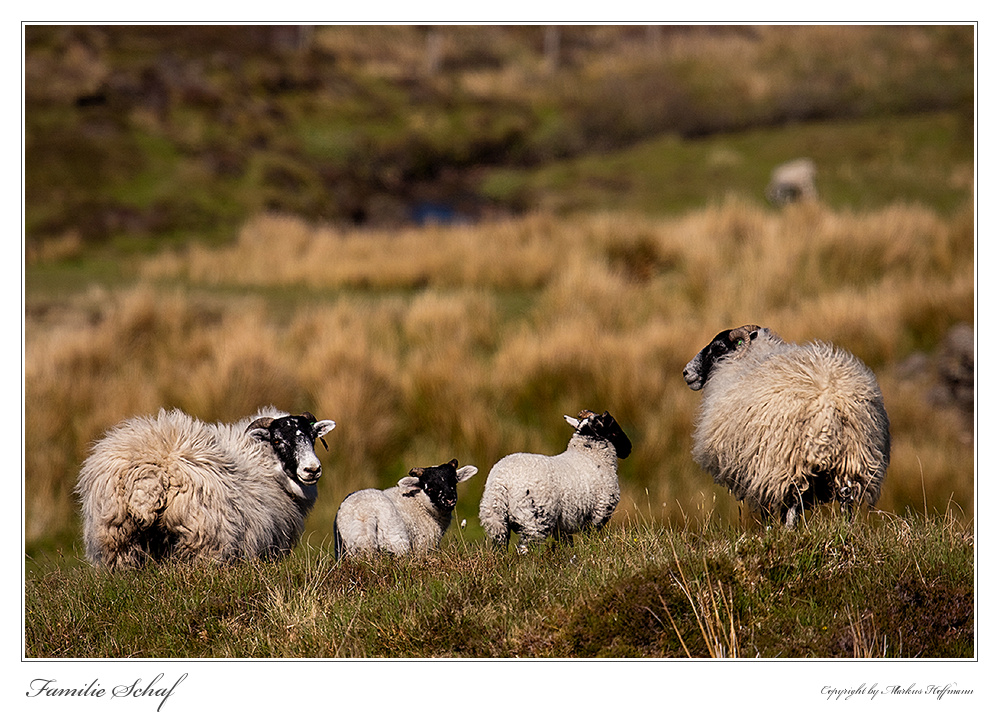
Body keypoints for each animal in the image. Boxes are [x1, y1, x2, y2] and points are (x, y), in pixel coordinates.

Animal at [74, 408, 338, 572]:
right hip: (202, 540)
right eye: (277, 440)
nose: (312, 469)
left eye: (312, 437)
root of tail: (149, 481)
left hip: (117, 540)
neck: (262, 461)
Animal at [334, 458, 478, 560]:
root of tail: (365, 514)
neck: (420, 503)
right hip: (396, 542)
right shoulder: (423, 546)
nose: (449, 499)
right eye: (430, 487)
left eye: (454, 481)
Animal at [478, 408, 632, 556]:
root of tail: (502, 482)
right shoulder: (598, 514)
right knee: (525, 551)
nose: (628, 449)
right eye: (613, 428)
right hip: (533, 522)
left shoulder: (562, 525)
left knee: (500, 549)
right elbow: (590, 539)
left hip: (496, 521)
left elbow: (566, 544)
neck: (591, 456)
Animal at [688, 326, 892, 528]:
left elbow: (768, 513)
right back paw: (846, 528)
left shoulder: (758, 473)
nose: (686, 372)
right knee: (846, 500)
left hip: (787, 463)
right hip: (852, 460)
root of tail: (828, 407)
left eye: (718, 348)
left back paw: (788, 531)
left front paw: (769, 532)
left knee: (794, 503)